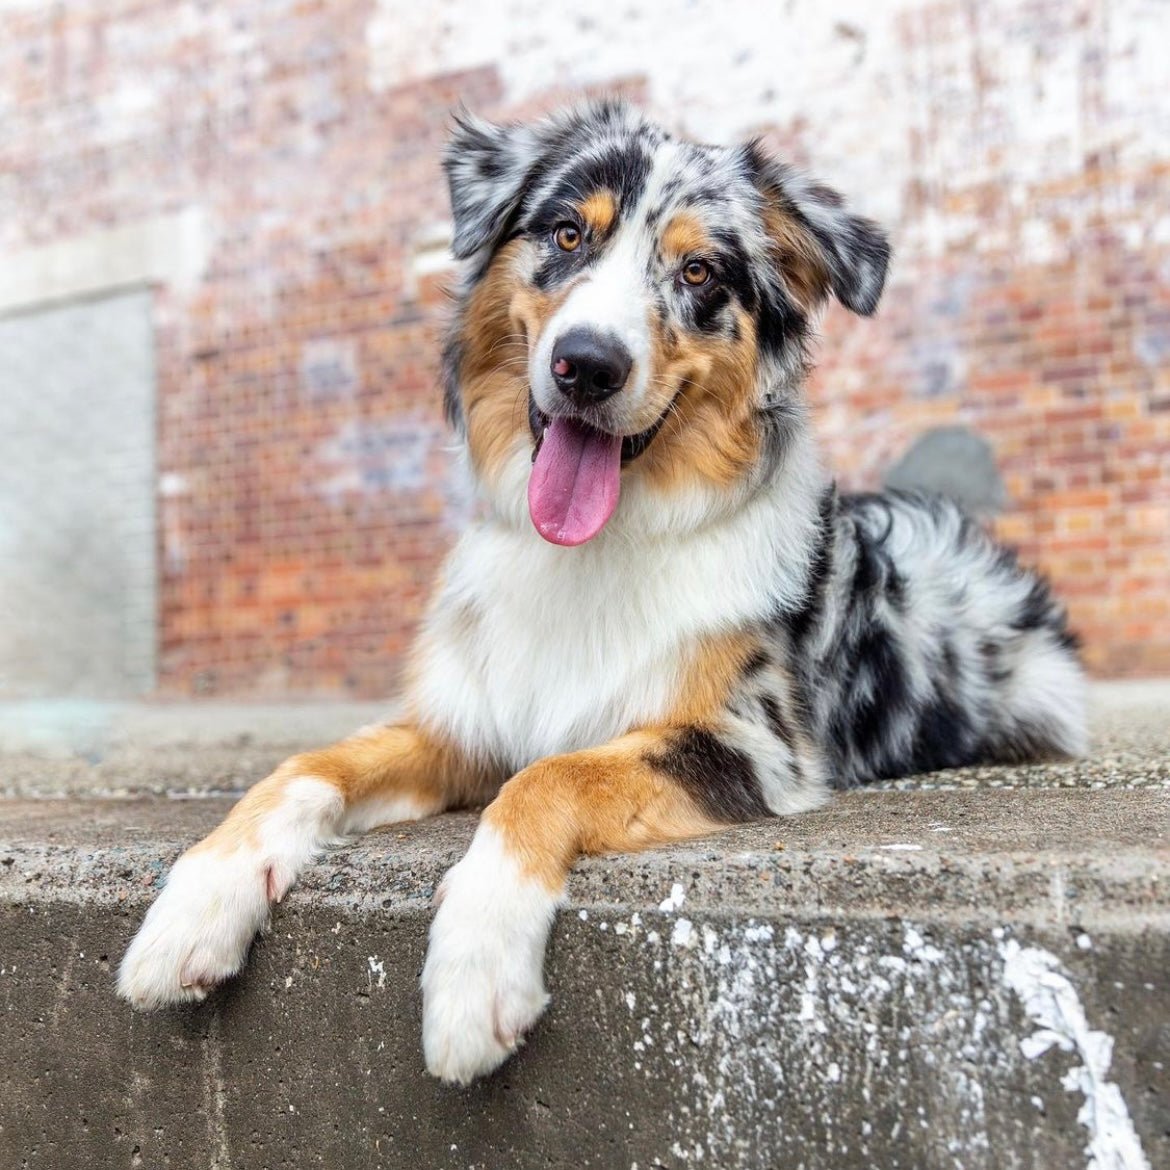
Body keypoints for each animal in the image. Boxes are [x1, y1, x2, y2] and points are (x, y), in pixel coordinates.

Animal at [121, 100, 1085, 1085]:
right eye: (566, 233)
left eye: (699, 271)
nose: (587, 364)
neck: (596, 547)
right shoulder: (465, 725)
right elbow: (309, 765)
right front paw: (199, 900)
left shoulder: (750, 744)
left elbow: (551, 774)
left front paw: (475, 973)